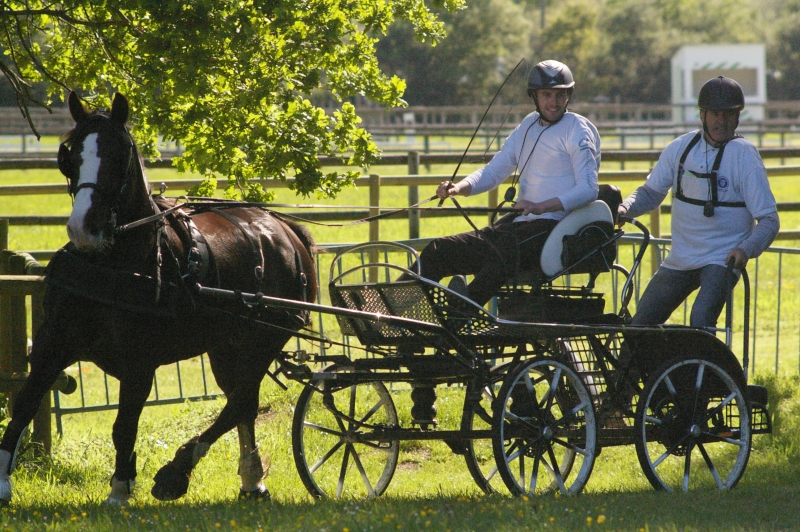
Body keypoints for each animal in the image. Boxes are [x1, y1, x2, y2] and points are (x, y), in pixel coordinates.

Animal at [0, 91, 318, 502]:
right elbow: (24, 404)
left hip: (264, 339)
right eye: (69, 154)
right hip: (226, 345)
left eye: (120, 155)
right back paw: (251, 480)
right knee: (242, 402)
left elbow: (123, 425)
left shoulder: (139, 364)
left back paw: (178, 471)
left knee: (242, 399)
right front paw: (2, 481)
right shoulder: (52, 344)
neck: (111, 265)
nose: (84, 228)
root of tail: (286, 229)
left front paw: (120, 487)